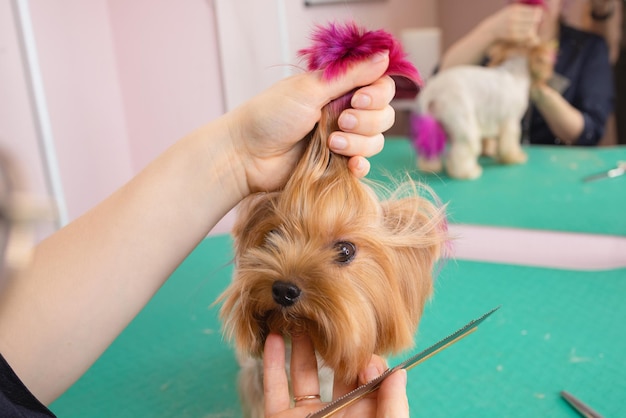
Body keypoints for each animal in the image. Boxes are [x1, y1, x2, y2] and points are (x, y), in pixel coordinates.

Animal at [412, 41, 552, 179]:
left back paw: (430, 167)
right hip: (465, 125)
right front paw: (515, 157)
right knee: (463, 151)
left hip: (434, 127)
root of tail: (432, 91)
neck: (515, 72)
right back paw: (468, 172)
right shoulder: (510, 121)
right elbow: (510, 143)